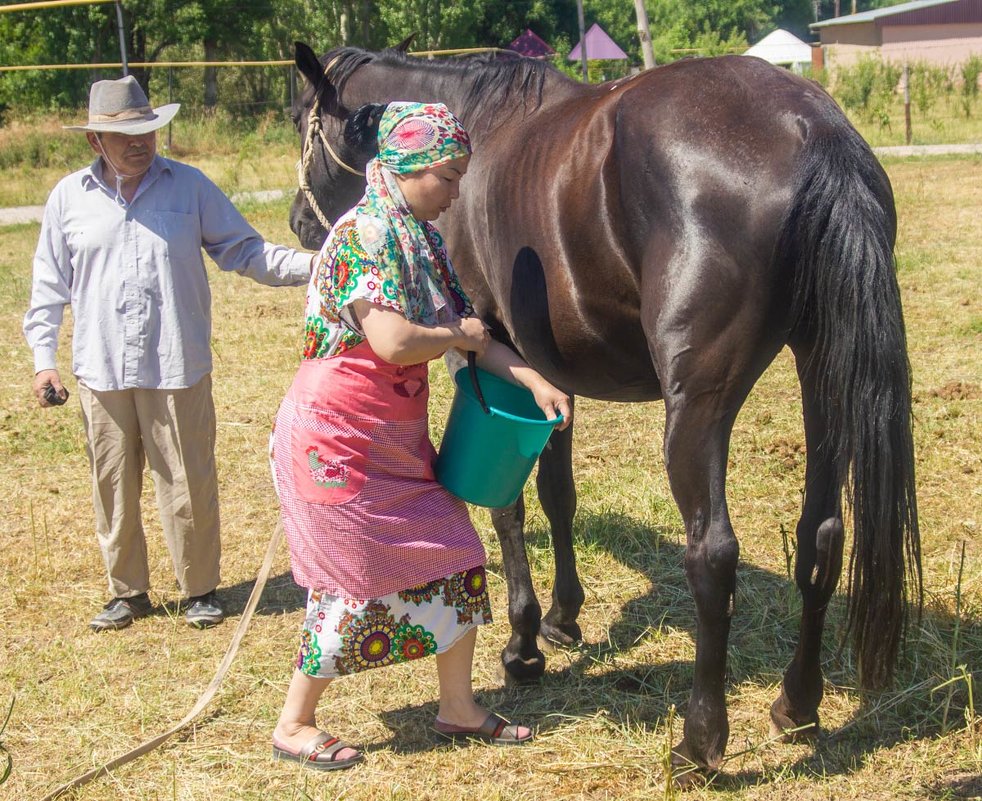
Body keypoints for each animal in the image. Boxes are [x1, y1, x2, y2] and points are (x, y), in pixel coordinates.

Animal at [286, 40, 924, 780]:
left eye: (300, 121)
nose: (299, 222)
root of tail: (811, 127)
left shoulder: (489, 352)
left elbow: (510, 508)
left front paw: (524, 644)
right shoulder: (548, 374)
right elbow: (558, 493)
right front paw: (563, 618)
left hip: (698, 408)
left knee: (712, 555)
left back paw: (699, 742)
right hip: (821, 371)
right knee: (821, 537)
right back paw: (797, 702)